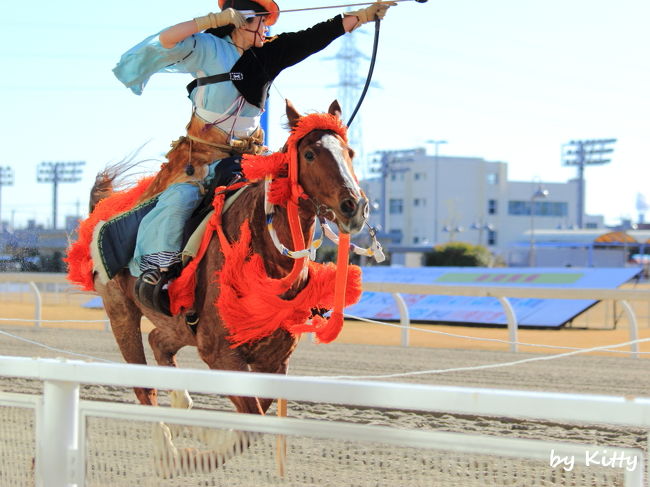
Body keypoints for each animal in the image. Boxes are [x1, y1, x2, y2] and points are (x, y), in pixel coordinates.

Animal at [73, 101, 368, 418]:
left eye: (350, 152)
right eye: (310, 154)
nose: (354, 206)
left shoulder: (274, 360)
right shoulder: (221, 354)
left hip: (177, 325)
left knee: (158, 342)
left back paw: (181, 400)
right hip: (120, 311)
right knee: (145, 388)